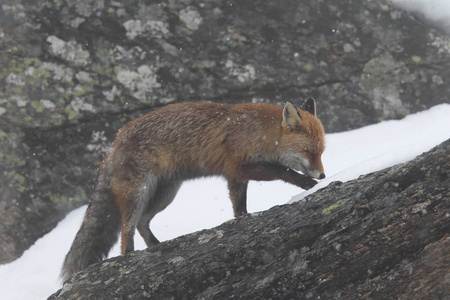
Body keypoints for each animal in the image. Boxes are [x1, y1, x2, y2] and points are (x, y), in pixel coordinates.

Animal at [61, 99, 326, 280]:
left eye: (321, 152)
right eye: (310, 152)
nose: (323, 175)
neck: (260, 133)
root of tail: (114, 141)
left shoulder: (234, 177)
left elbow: (239, 208)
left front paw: (243, 221)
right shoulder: (240, 167)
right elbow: (284, 171)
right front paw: (308, 184)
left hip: (165, 194)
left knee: (142, 223)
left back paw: (157, 246)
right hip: (138, 193)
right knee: (127, 231)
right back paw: (130, 258)